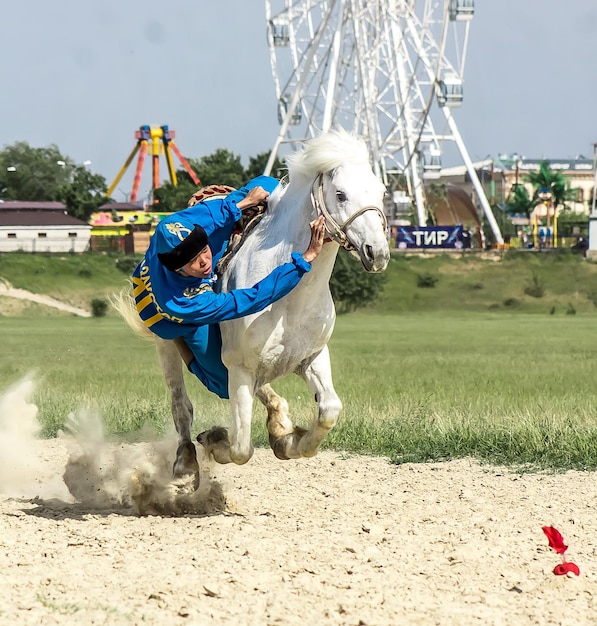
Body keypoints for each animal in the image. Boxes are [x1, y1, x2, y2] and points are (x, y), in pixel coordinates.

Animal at [115, 129, 392, 486]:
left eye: (382, 191)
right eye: (341, 194)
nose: (377, 252)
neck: (293, 302)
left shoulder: (313, 357)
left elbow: (329, 410)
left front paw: (287, 439)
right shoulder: (240, 367)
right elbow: (239, 448)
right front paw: (216, 440)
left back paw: (278, 418)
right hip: (168, 348)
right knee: (181, 406)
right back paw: (185, 462)